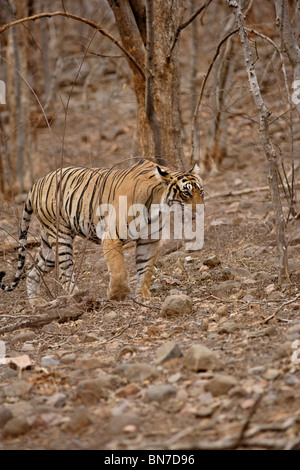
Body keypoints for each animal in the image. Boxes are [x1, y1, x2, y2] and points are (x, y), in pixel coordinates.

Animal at [0, 158, 204, 306]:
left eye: (201, 192)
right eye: (186, 193)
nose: (200, 210)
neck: (157, 205)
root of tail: (36, 183)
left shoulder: (149, 240)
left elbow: (146, 269)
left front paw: (144, 296)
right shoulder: (112, 236)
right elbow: (119, 270)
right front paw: (117, 295)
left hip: (48, 245)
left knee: (32, 271)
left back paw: (36, 303)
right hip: (60, 236)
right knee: (64, 271)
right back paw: (78, 297)